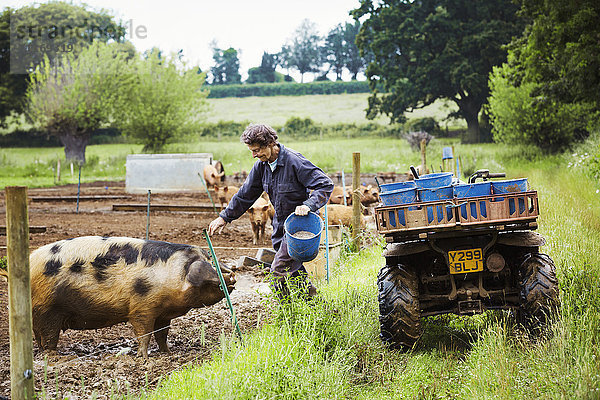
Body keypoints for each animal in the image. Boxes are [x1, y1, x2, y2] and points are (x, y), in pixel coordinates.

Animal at [29, 236, 234, 358]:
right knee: (48, 337)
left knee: (39, 337)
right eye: (211, 268)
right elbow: (144, 333)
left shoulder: (163, 314)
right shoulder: (142, 307)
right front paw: (143, 357)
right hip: (47, 310)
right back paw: (54, 357)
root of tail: (29, 263)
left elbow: (161, 334)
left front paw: (167, 353)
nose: (232, 276)